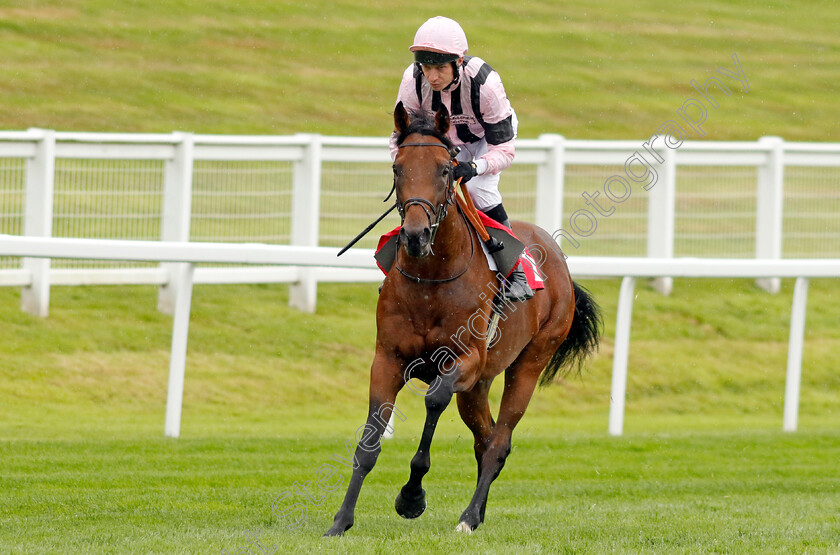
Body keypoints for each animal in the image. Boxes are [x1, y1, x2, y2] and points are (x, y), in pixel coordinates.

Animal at [324, 102, 604, 536]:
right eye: (397, 168)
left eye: (444, 169)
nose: (416, 235)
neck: (432, 278)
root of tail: (558, 260)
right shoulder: (387, 359)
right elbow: (369, 442)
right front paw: (341, 521)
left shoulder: (465, 359)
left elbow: (434, 399)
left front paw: (411, 496)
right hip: (479, 385)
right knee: (484, 438)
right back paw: (479, 512)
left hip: (531, 360)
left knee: (499, 442)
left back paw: (469, 517)